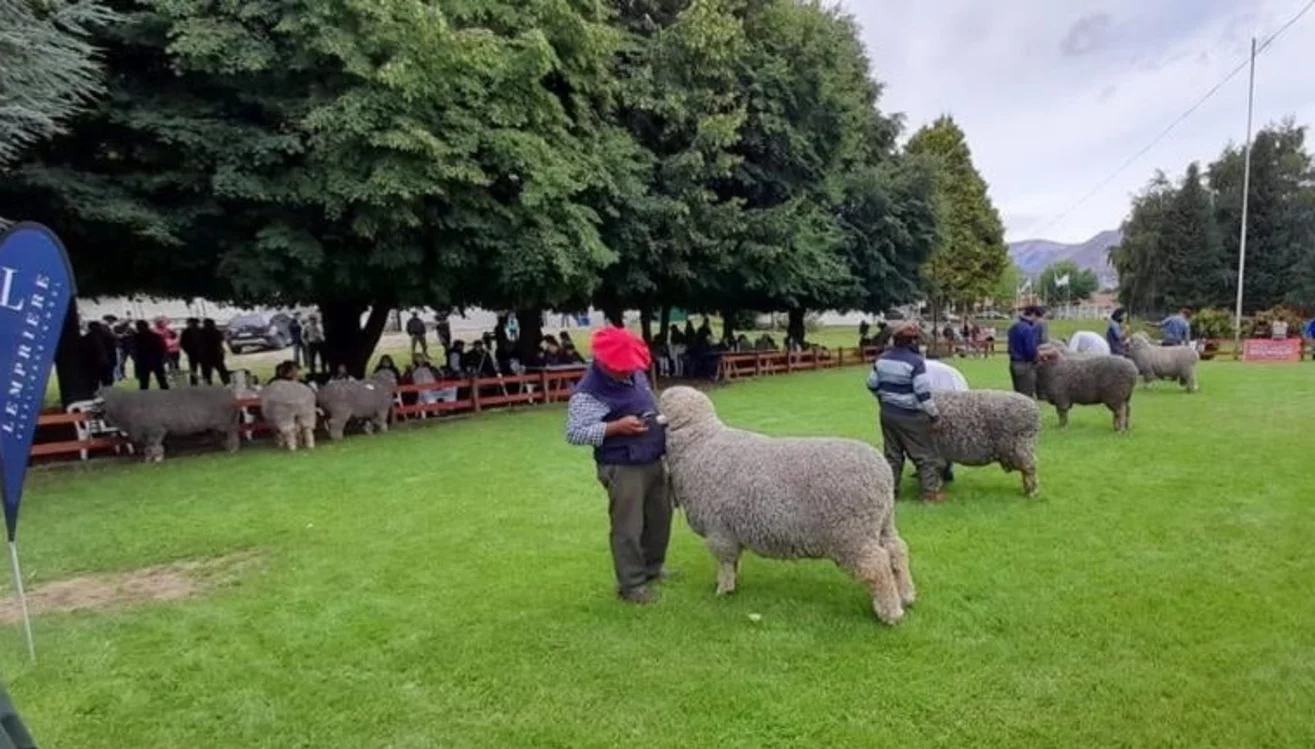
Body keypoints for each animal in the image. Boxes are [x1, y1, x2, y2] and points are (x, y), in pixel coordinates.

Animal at [98, 383, 243, 459]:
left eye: (100, 395)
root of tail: (227, 390)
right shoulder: (146, 433)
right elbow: (148, 446)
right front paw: (149, 459)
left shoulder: (157, 430)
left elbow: (155, 444)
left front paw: (157, 458)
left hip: (226, 422)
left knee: (233, 432)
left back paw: (233, 448)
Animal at [657, 383, 915, 622]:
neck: (699, 444)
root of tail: (883, 471)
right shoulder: (729, 531)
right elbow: (733, 562)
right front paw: (730, 583)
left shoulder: (718, 530)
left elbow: (726, 561)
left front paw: (723, 589)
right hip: (882, 521)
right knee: (896, 550)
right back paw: (907, 596)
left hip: (852, 533)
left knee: (877, 565)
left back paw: (890, 613)